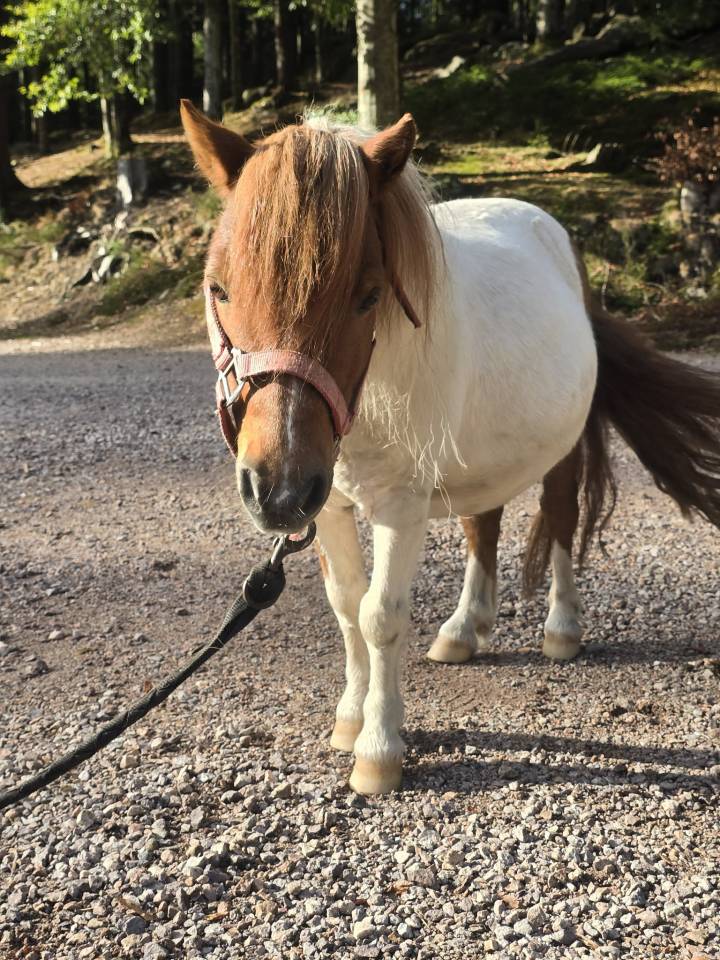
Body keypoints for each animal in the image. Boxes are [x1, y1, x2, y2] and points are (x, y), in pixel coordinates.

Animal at [180, 101, 720, 795]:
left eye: (369, 295)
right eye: (218, 289)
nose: (276, 490)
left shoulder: (400, 507)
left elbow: (381, 615)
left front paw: (379, 749)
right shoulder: (330, 506)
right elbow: (346, 606)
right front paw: (350, 719)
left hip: (563, 450)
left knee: (562, 522)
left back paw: (562, 628)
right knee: (481, 530)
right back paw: (466, 629)